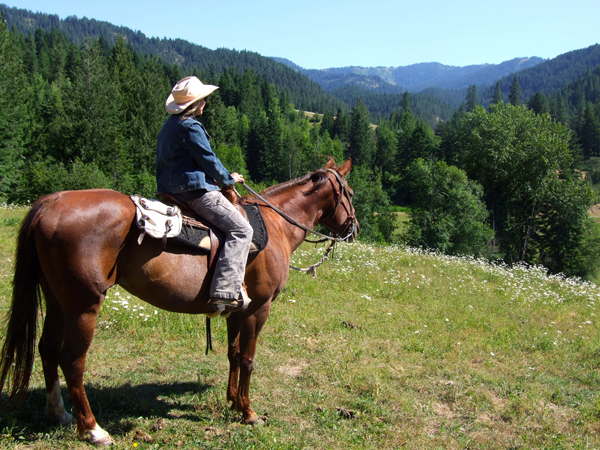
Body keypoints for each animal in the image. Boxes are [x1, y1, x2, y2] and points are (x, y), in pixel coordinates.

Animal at [0, 157, 356, 442]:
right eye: (350, 194)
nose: (353, 228)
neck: (277, 225)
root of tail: (52, 202)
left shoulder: (236, 311)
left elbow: (233, 354)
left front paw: (232, 401)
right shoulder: (258, 308)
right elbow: (248, 359)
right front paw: (248, 411)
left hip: (57, 299)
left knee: (47, 348)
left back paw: (60, 414)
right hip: (83, 304)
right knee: (72, 360)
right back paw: (92, 429)